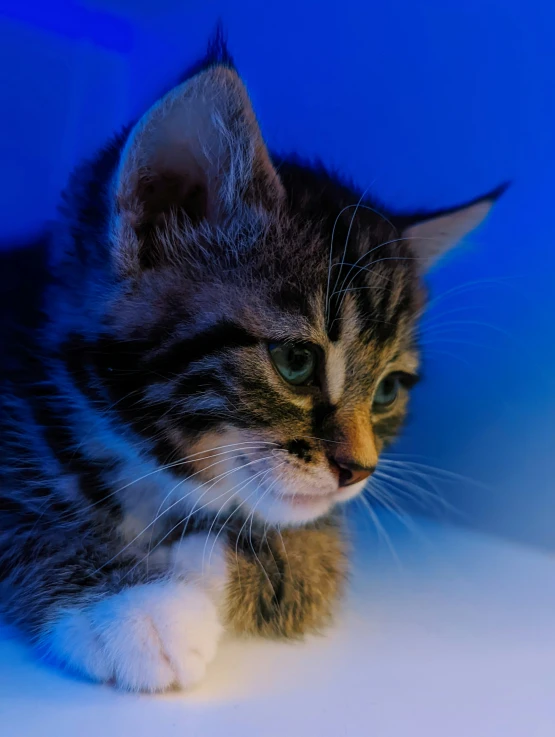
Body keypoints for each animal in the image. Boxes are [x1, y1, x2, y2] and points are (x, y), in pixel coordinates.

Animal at [0, 37, 504, 688]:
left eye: (389, 390)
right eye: (295, 361)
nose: (359, 471)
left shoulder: (317, 523)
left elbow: (311, 559)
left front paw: (193, 562)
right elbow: (26, 516)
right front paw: (136, 604)